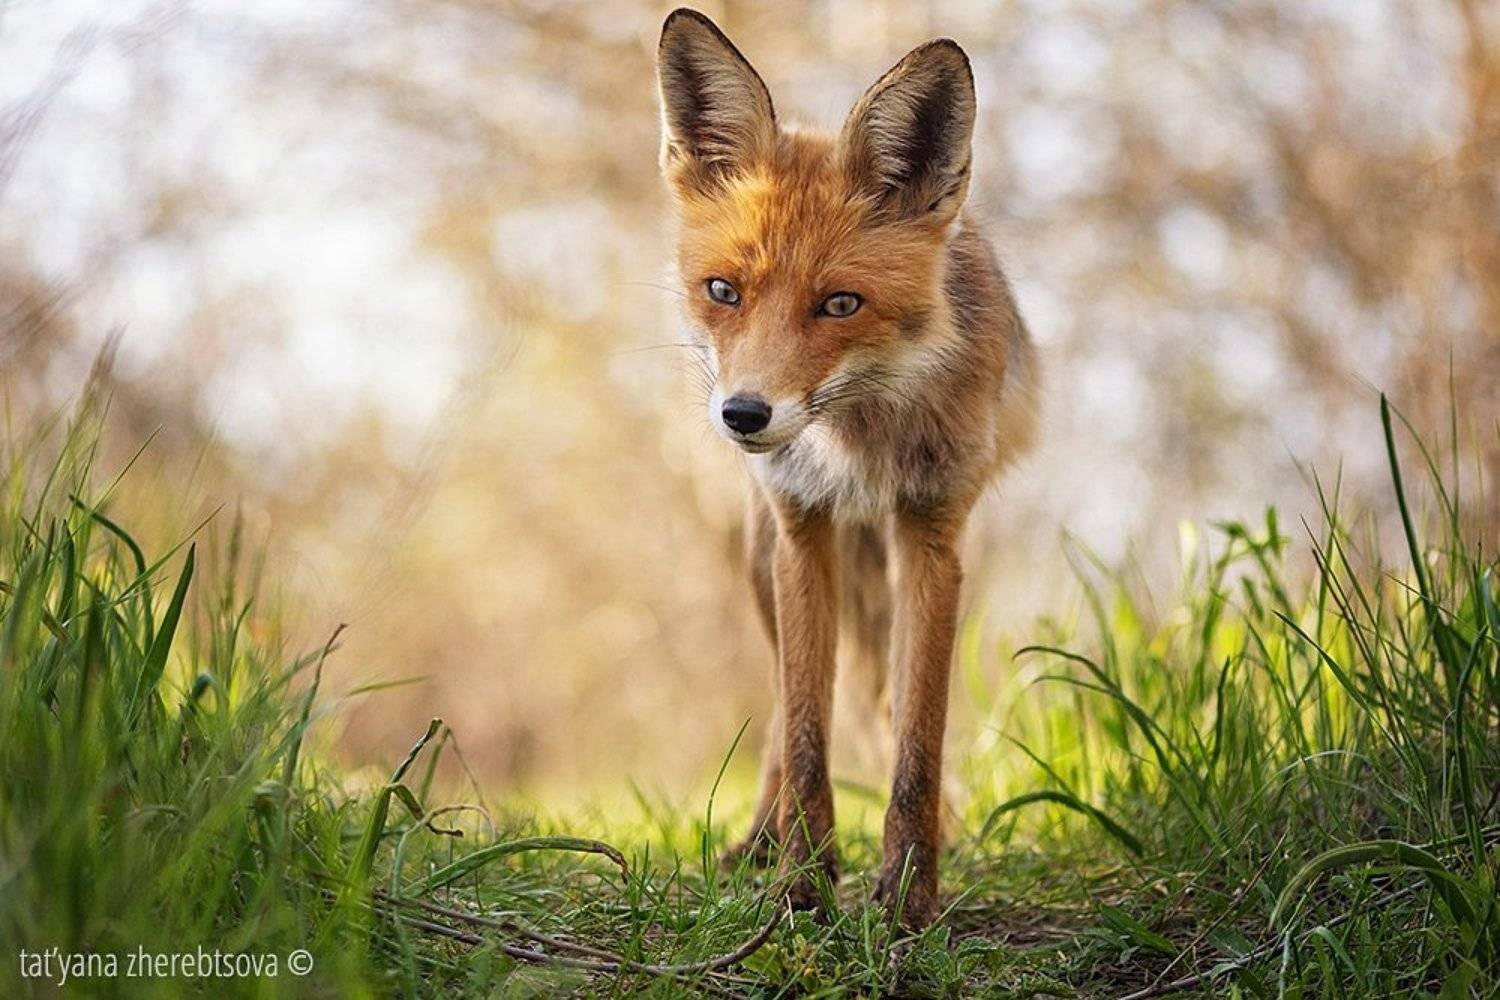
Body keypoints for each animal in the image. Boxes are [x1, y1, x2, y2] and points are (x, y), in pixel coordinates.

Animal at [656, 8, 1039, 928]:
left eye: (840, 304)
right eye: (723, 291)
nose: (745, 415)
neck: (857, 438)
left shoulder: (932, 535)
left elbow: (918, 742)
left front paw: (906, 899)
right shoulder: (803, 532)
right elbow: (804, 733)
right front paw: (802, 888)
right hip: (761, 557)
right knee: (780, 706)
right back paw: (759, 846)